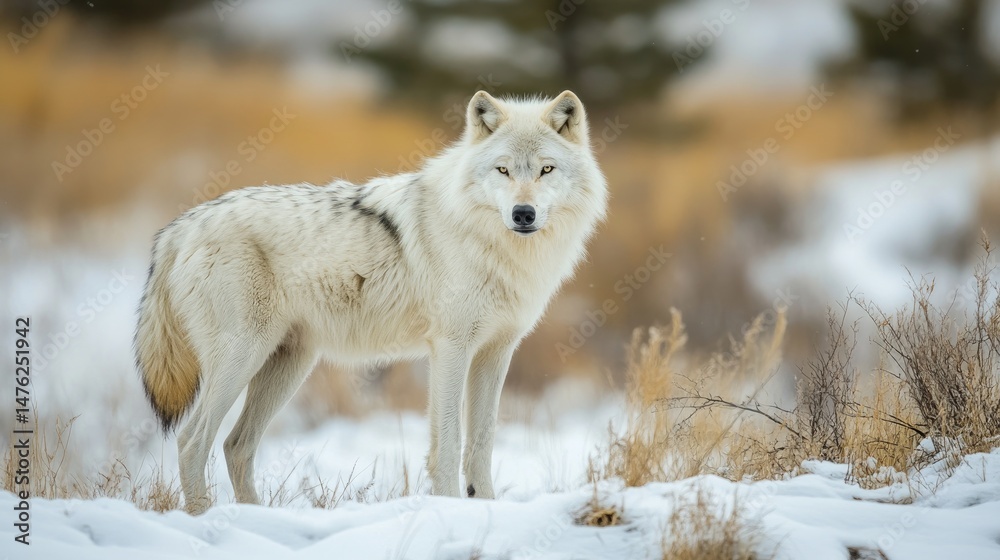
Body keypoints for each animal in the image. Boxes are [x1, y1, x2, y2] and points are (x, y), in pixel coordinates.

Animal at [135, 90, 608, 514]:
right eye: (503, 169)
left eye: (546, 169)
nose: (523, 214)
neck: (496, 246)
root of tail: (181, 227)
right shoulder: (451, 348)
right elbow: (450, 443)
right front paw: (451, 508)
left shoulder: (495, 353)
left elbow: (483, 442)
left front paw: (486, 508)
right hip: (242, 357)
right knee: (193, 441)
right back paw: (208, 520)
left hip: (288, 365)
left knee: (236, 445)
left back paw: (255, 519)